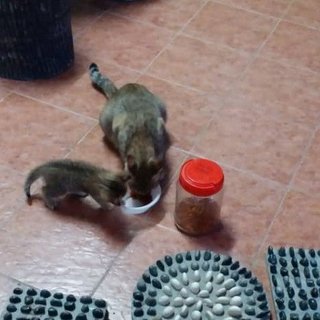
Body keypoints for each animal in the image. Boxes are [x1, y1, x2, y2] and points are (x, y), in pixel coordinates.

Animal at [89, 62, 170, 196]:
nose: (143, 196)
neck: (141, 143)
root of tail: (117, 91)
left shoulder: (160, 126)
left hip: (162, 106)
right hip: (104, 120)